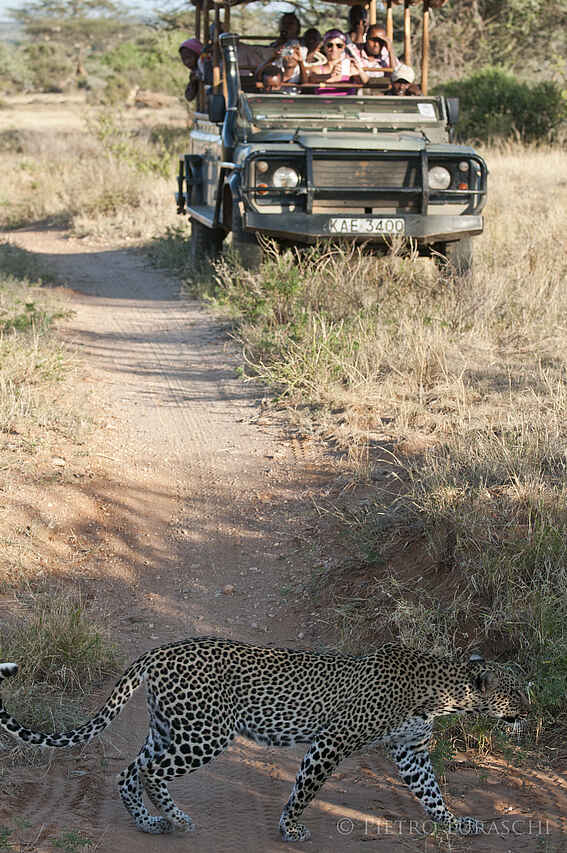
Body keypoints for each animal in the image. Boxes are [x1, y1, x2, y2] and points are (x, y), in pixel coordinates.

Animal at [0, 637, 530, 842]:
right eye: (516, 692)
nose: (530, 712)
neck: (442, 694)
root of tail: (160, 650)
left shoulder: (411, 751)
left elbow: (432, 794)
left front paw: (457, 824)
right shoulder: (333, 741)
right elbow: (305, 790)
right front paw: (290, 829)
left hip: (171, 727)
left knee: (131, 770)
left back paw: (151, 823)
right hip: (205, 734)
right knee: (149, 771)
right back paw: (176, 819)